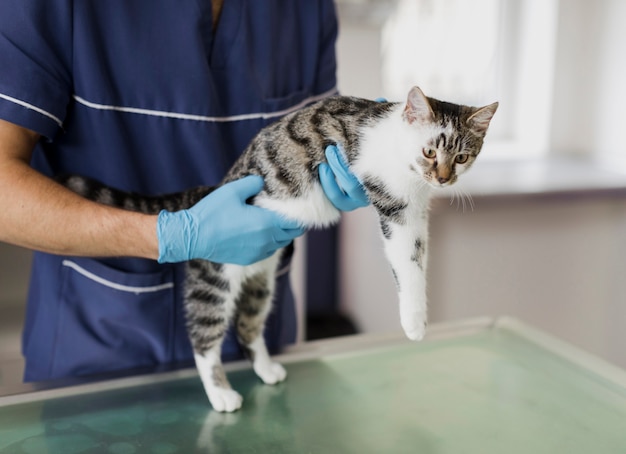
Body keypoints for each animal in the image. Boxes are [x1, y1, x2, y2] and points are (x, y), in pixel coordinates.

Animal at [58, 86, 498, 412]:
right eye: (429, 151)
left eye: (462, 156)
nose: (443, 179)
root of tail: (208, 195)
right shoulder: (394, 206)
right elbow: (406, 263)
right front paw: (414, 321)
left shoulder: (417, 211)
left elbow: (421, 256)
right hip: (213, 279)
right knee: (204, 338)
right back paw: (220, 393)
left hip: (262, 281)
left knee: (247, 325)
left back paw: (267, 368)